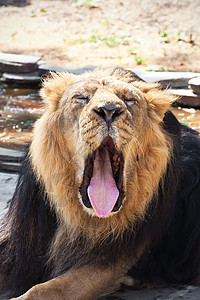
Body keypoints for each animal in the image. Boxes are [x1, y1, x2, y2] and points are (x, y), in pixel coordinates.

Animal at [0, 68, 200, 300]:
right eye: (82, 98)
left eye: (129, 100)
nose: (109, 111)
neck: (81, 219)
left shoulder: (111, 265)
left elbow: (47, 289)